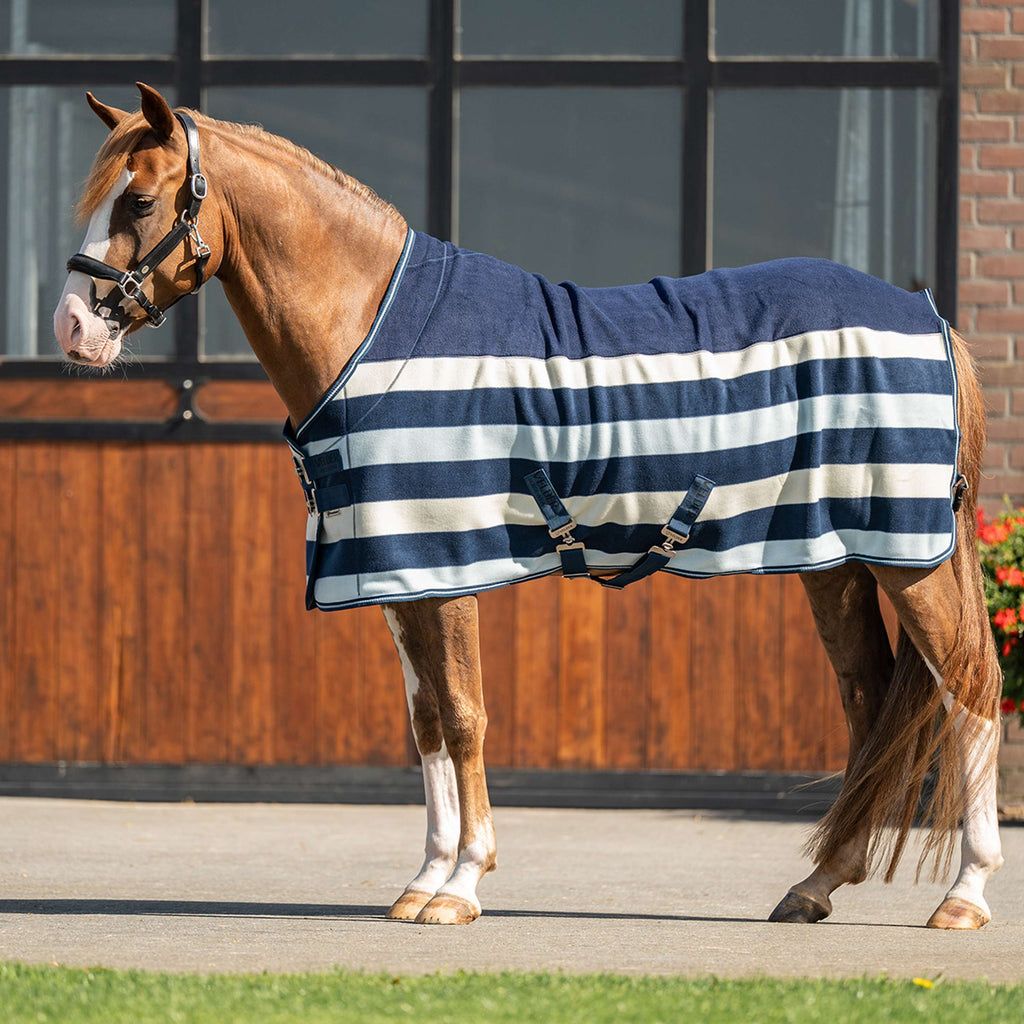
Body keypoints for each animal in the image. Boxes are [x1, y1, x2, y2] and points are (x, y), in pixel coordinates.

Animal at [53, 83, 1003, 931]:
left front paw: (463, 886)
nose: (72, 329)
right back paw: (816, 885)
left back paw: (964, 898)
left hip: (907, 558)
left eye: (141, 198)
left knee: (970, 688)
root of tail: (927, 316)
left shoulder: (448, 564)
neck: (373, 334)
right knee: (867, 701)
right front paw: (422, 881)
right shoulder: (396, 576)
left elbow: (467, 715)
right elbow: (428, 724)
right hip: (835, 562)